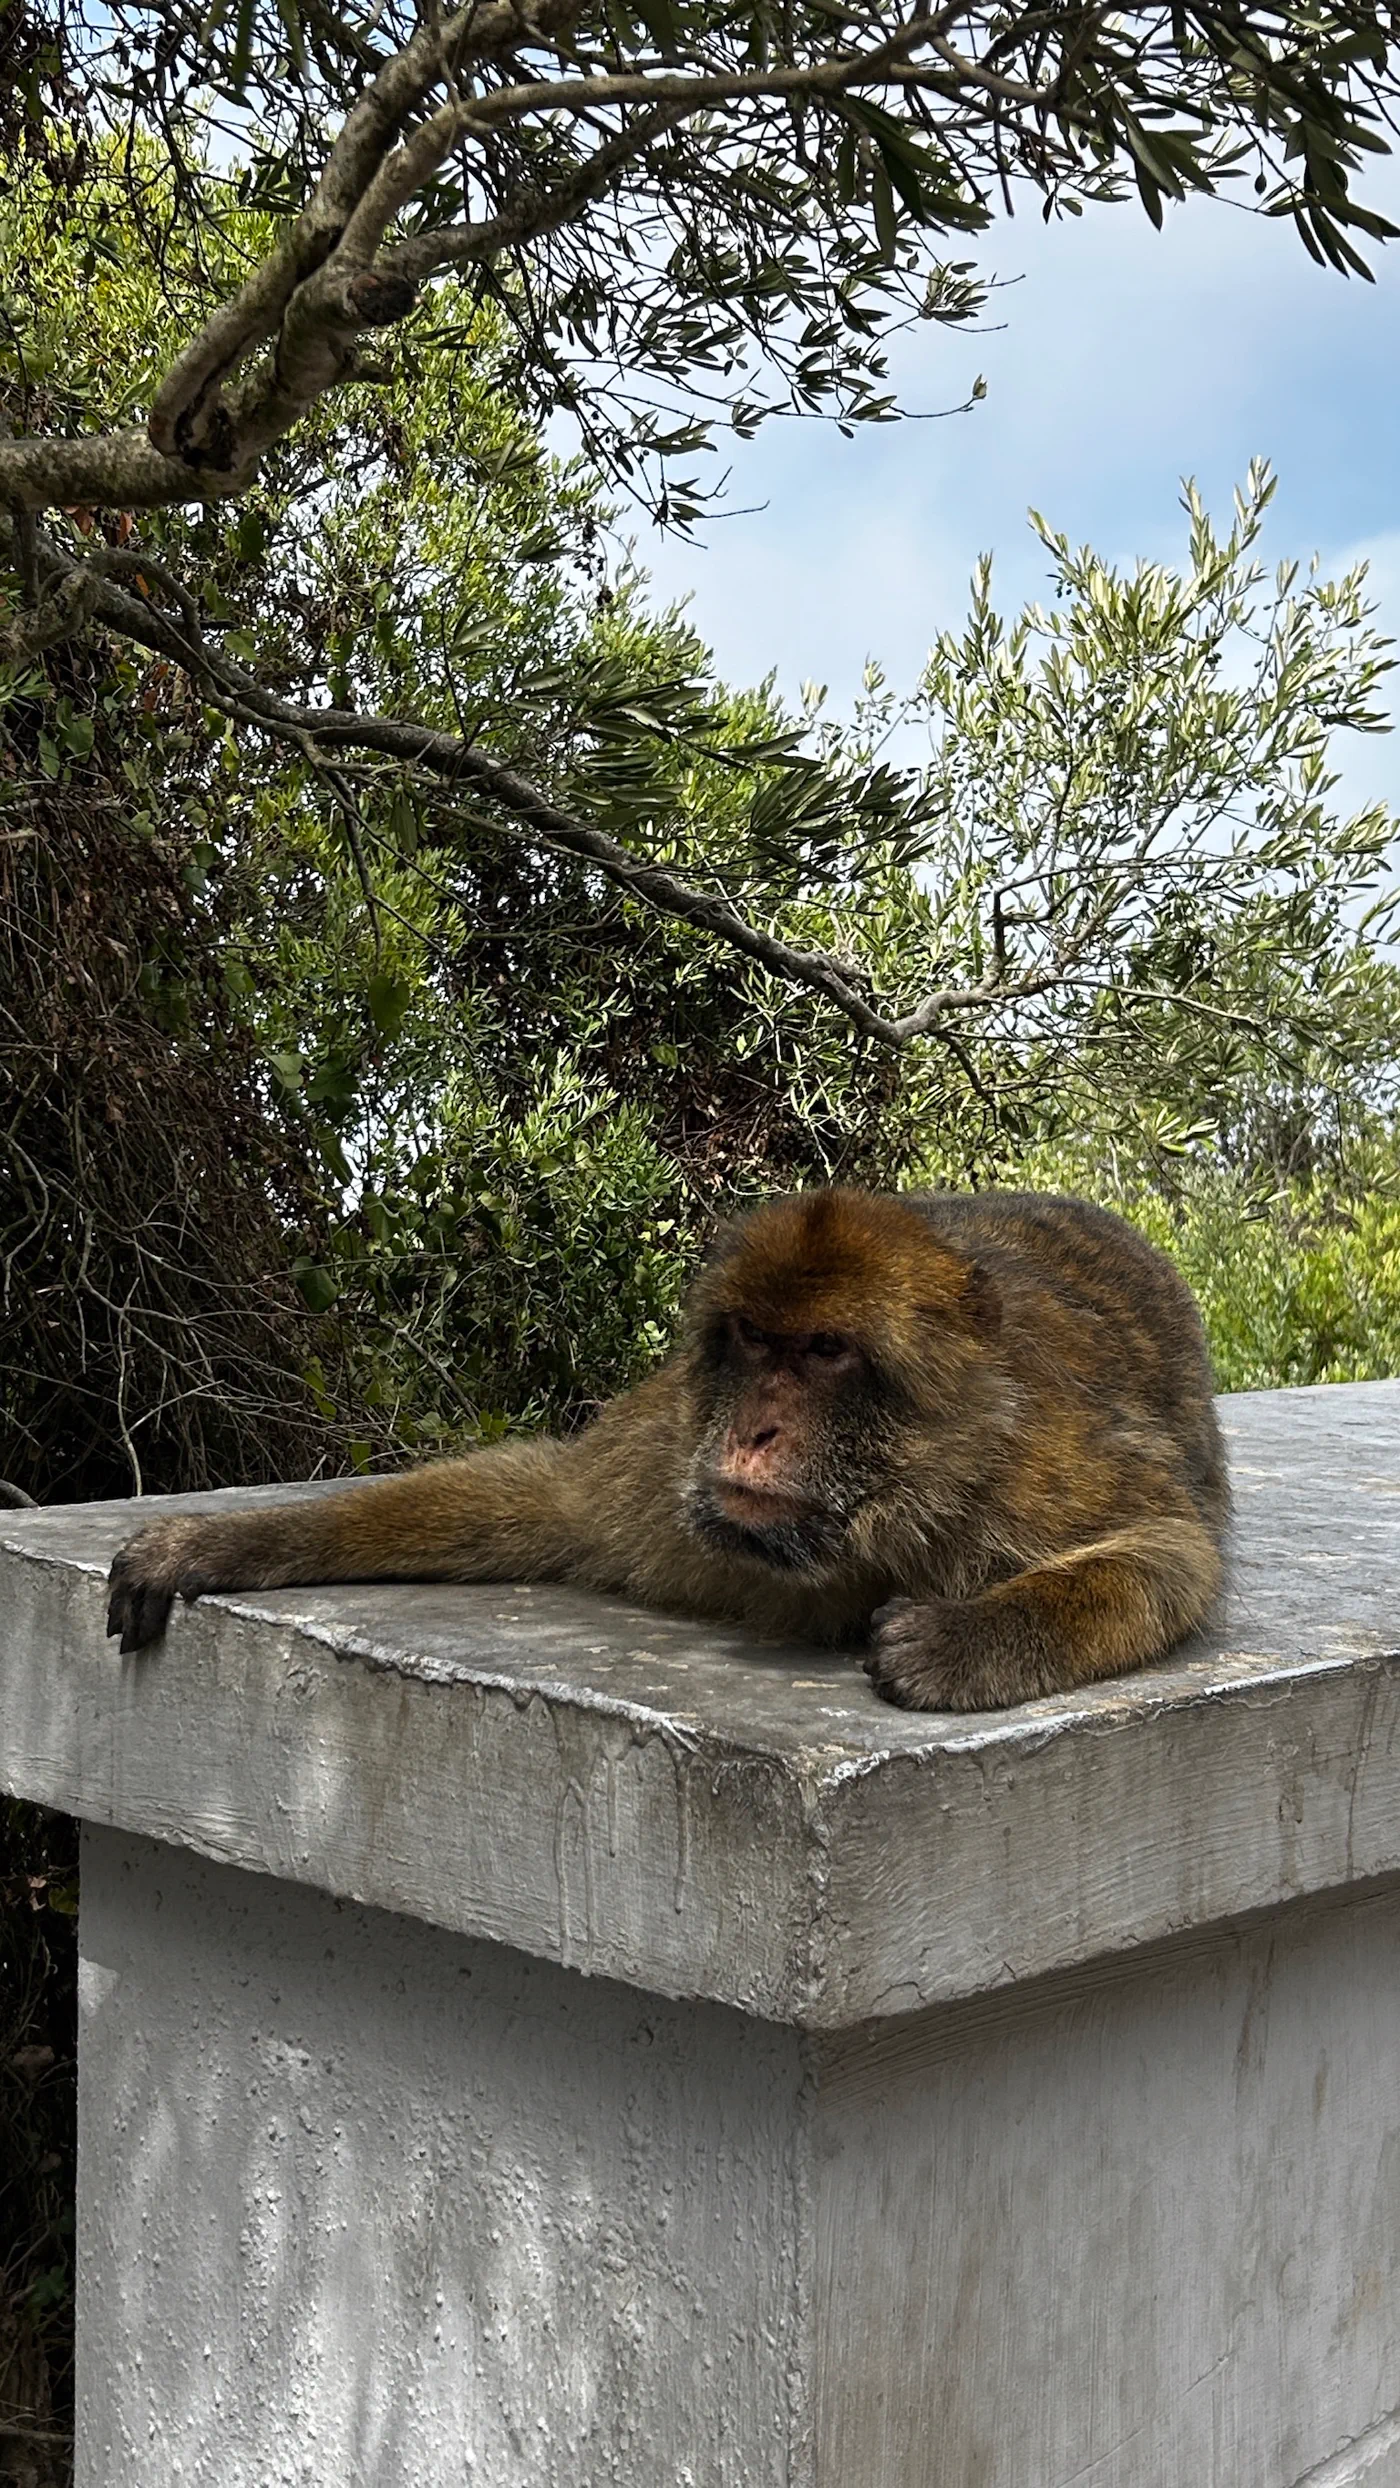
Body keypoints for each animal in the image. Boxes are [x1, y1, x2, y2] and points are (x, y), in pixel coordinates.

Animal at [105, 1188, 1229, 1713]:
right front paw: (216, 1545)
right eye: (750, 1341)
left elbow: (1171, 1552)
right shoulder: (662, 1458)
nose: (752, 1429)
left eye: (825, 1352)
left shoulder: (1036, 1463)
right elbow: (535, 1502)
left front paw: (960, 1642)